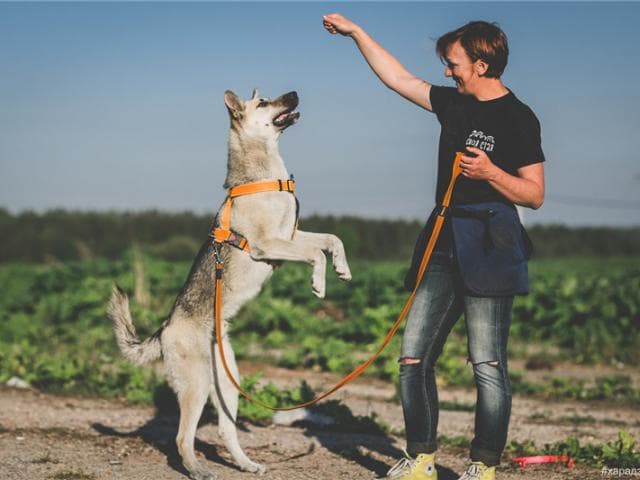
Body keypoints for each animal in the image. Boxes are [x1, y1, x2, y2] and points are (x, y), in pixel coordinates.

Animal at [108, 90, 352, 480]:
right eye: (264, 102)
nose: (295, 93)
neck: (264, 171)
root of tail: (164, 329)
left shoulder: (291, 236)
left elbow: (331, 239)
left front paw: (342, 269)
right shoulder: (270, 245)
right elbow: (315, 253)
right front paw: (319, 283)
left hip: (227, 384)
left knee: (225, 430)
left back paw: (245, 464)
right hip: (197, 385)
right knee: (182, 437)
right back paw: (197, 470)